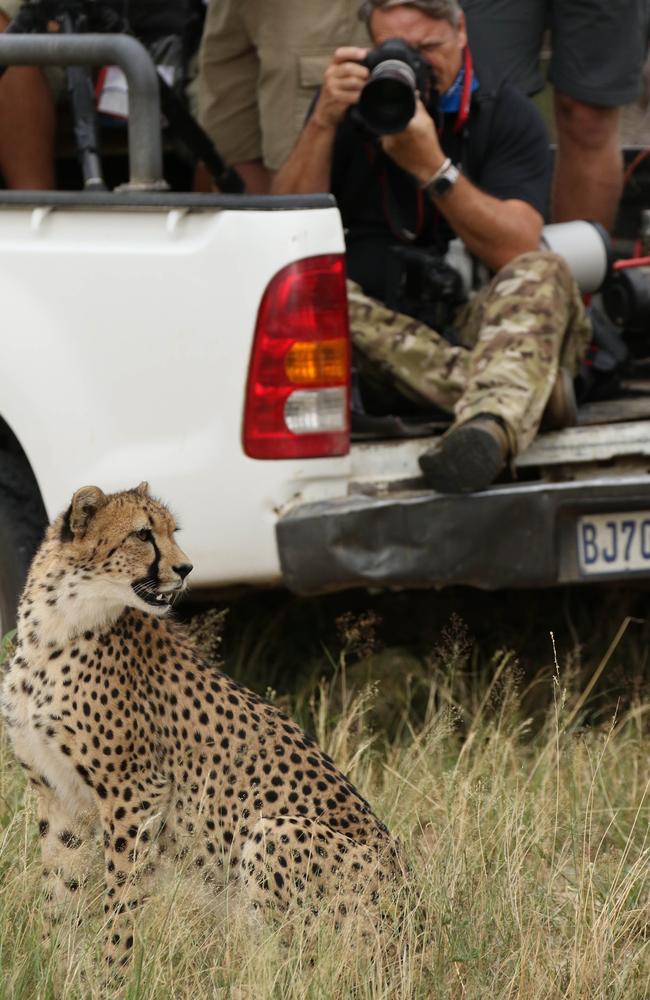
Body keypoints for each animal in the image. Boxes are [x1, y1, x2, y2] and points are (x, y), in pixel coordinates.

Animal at [1, 484, 400, 968]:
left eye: (173, 532)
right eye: (142, 534)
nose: (186, 568)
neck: (55, 624)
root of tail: (416, 918)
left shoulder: (136, 792)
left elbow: (122, 894)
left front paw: (112, 971)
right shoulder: (58, 795)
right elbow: (62, 888)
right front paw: (55, 965)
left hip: (276, 832)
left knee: (300, 959)